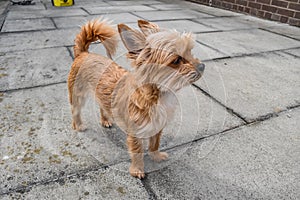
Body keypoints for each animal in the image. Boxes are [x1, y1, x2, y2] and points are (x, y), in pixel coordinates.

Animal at [67, 18, 204, 178]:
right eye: (176, 61)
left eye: (190, 51)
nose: (202, 66)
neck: (157, 95)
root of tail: (83, 53)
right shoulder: (135, 133)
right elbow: (137, 151)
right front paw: (137, 169)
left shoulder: (157, 126)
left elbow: (155, 143)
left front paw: (156, 156)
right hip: (78, 95)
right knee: (75, 111)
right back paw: (78, 125)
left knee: (102, 106)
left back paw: (105, 120)